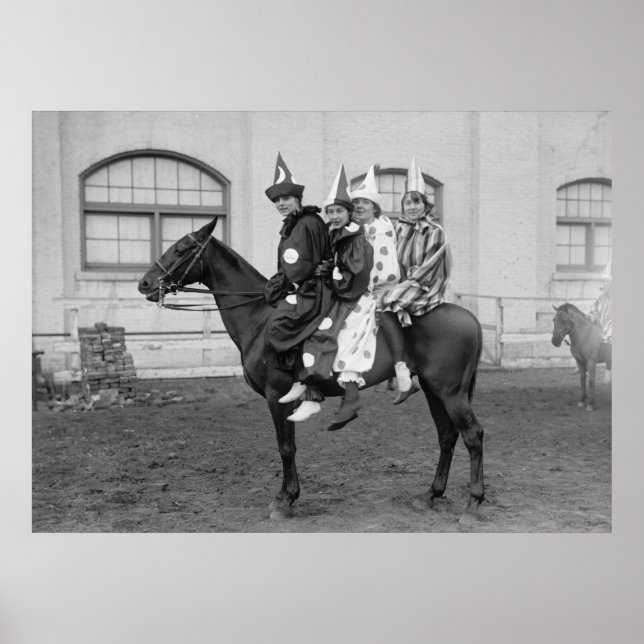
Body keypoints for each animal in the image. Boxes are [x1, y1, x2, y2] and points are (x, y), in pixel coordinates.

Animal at [138, 218, 485, 525]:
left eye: (181, 249)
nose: (144, 283)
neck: (262, 318)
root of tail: (470, 317)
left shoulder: (277, 395)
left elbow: (286, 447)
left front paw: (286, 501)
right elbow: (287, 445)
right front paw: (284, 496)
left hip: (449, 392)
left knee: (472, 436)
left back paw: (473, 505)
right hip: (433, 390)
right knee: (447, 436)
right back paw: (431, 494)